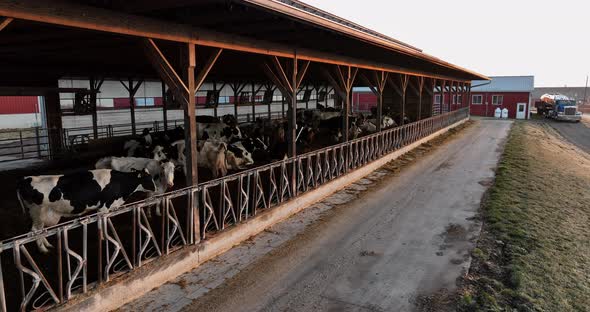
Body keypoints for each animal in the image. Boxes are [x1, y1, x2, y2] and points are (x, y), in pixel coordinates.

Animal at [16, 168, 156, 254]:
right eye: (148, 179)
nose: (155, 189)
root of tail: (24, 179)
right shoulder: (104, 206)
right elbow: (103, 224)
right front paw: (104, 238)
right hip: (38, 213)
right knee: (35, 231)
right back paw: (43, 250)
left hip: (42, 215)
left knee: (41, 231)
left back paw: (48, 245)